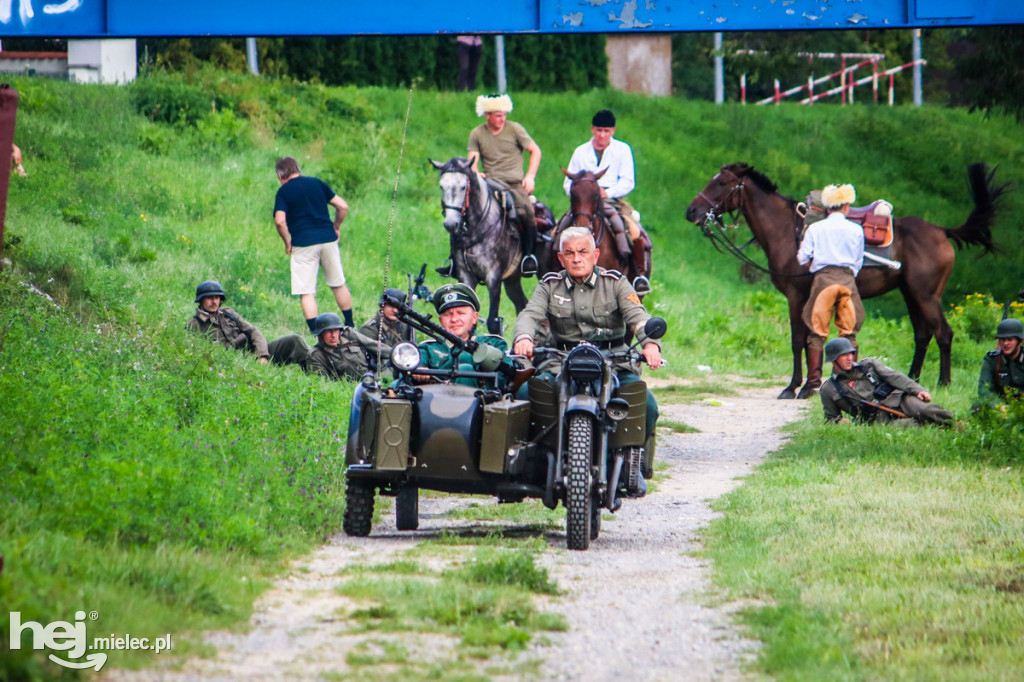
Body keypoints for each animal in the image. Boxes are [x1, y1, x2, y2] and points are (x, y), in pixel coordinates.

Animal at [430, 154, 528, 333]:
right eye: (441, 186)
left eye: (463, 187)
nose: (450, 224)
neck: (475, 230)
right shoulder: (465, 276)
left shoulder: (493, 277)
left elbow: (492, 322)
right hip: (512, 280)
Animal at [684, 162, 1003, 399]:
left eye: (721, 184)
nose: (692, 212)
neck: (787, 230)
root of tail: (942, 231)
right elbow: (809, 341)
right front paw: (806, 385)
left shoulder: (796, 296)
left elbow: (798, 340)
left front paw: (793, 387)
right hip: (911, 294)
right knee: (923, 335)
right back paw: (913, 378)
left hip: (927, 296)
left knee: (944, 334)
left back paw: (943, 383)